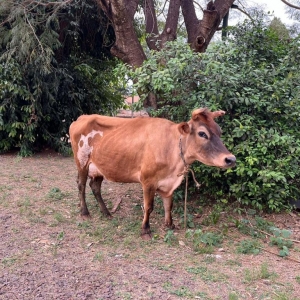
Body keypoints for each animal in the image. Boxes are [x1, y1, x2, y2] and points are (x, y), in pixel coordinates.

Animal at [69, 107, 236, 237]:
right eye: (202, 133)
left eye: (219, 132)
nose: (231, 159)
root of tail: (82, 117)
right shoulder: (148, 181)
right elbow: (149, 206)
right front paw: (145, 230)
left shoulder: (169, 182)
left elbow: (169, 204)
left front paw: (170, 224)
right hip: (82, 162)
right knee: (81, 186)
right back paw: (85, 212)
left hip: (100, 167)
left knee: (95, 187)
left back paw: (107, 213)